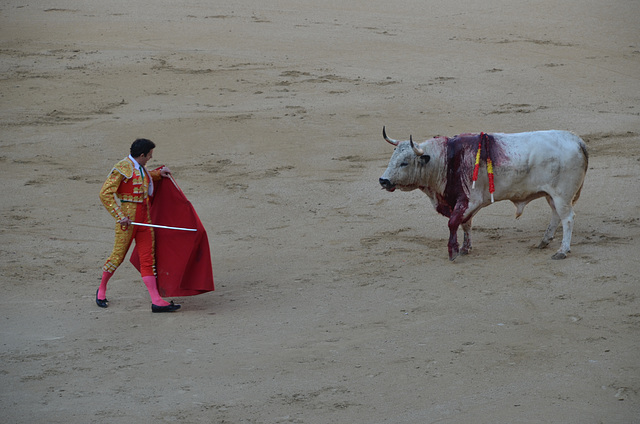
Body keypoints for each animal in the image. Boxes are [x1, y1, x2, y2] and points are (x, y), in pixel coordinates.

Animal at [380, 126, 592, 260]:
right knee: (556, 215)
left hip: (561, 195)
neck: (446, 161)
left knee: (567, 218)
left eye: (404, 162)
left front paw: (453, 251)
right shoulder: (463, 203)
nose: (383, 180)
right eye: (392, 159)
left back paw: (562, 251)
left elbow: (453, 223)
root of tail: (576, 140)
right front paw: (465, 248)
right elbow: (465, 224)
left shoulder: (470, 200)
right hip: (552, 195)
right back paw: (544, 241)